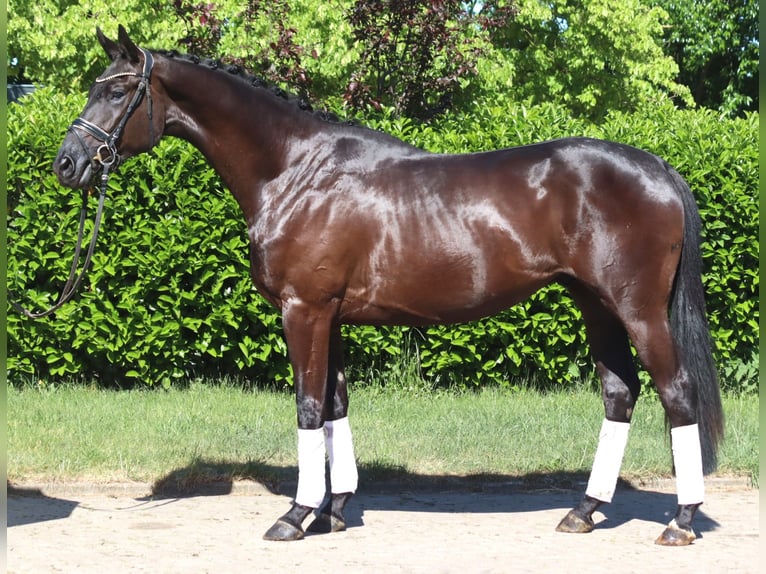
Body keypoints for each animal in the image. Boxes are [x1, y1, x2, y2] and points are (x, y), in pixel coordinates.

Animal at [53, 26, 723, 546]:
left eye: (117, 89)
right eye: (94, 85)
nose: (67, 164)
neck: (295, 170)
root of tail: (657, 167)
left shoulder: (304, 311)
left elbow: (306, 405)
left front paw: (296, 515)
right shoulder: (331, 315)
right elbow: (334, 404)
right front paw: (334, 511)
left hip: (637, 310)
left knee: (676, 393)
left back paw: (681, 520)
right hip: (596, 306)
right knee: (619, 392)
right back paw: (584, 511)